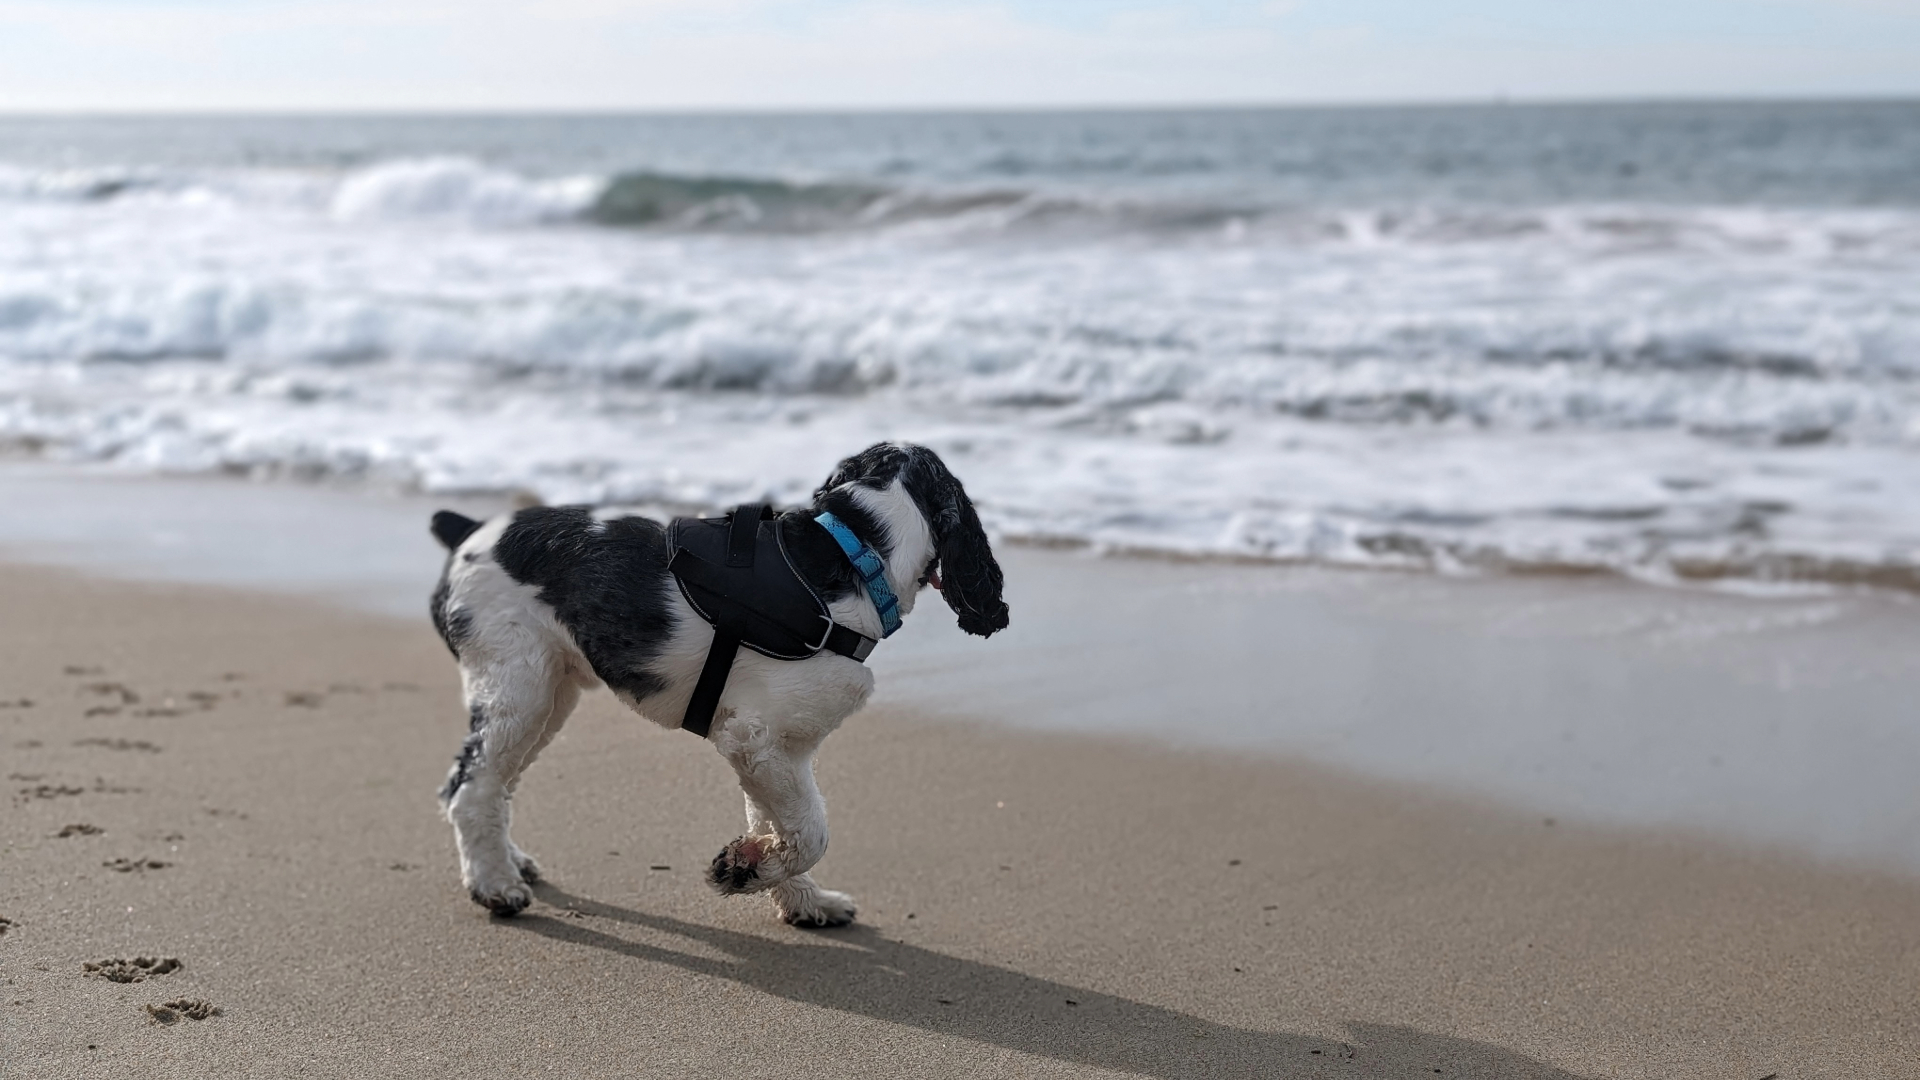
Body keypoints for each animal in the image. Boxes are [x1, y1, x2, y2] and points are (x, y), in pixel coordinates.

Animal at [426, 441, 1013, 922]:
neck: (855, 547)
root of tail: (469, 530)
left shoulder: (779, 749)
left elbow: (780, 822)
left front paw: (800, 898)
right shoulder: (754, 739)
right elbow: (810, 832)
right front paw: (742, 871)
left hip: (552, 696)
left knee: (494, 784)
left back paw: (509, 863)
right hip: (517, 690)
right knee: (468, 785)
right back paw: (494, 886)